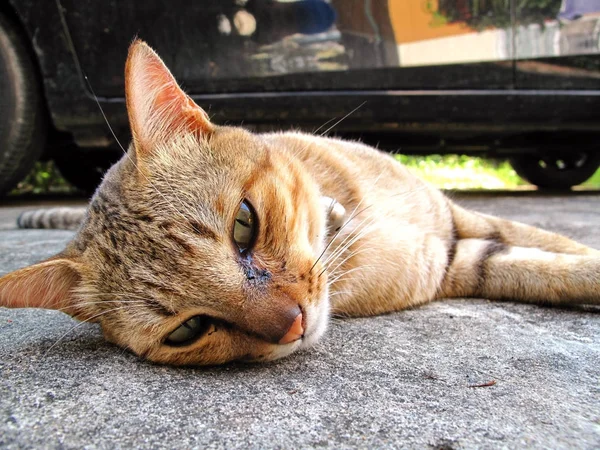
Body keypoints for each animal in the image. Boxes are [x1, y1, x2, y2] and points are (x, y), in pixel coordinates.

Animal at [1, 41, 600, 366]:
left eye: (244, 224)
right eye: (187, 331)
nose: (293, 325)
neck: (351, 222)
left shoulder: (457, 219)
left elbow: (558, 247)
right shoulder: (456, 263)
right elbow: (543, 270)